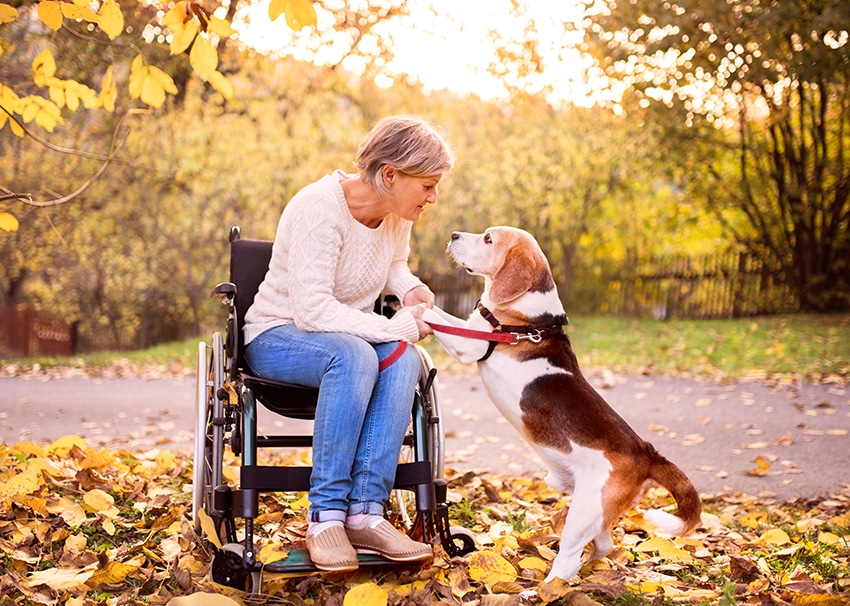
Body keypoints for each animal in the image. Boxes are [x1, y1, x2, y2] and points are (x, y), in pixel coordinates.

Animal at [420, 228, 700, 584]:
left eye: (488, 239)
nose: (454, 234)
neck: (530, 319)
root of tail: (646, 452)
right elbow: (438, 311)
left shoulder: (467, 344)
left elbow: (429, 314)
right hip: (594, 513)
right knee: (603, 545)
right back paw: (591, 567)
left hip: (583, 513)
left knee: (566, 561)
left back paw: (543, 589)